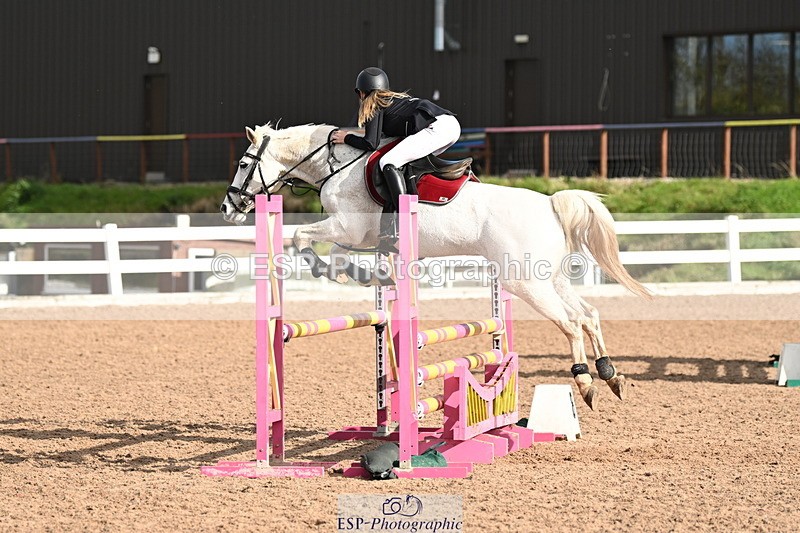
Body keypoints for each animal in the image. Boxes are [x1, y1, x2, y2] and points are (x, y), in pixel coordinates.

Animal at [220, 122, 652, 410]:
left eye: (242, 163)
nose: (227, 208)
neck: (336, 167)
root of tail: (549, 202)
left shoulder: (348, 227)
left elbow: (300, 237)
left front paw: (324, 268)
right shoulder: (358, 235)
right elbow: (339, 254)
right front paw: (363, 275)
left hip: (524, 282)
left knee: (571, 321)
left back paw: (586, 382)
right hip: (550, 277)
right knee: (589, 313)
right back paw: (611, 375)